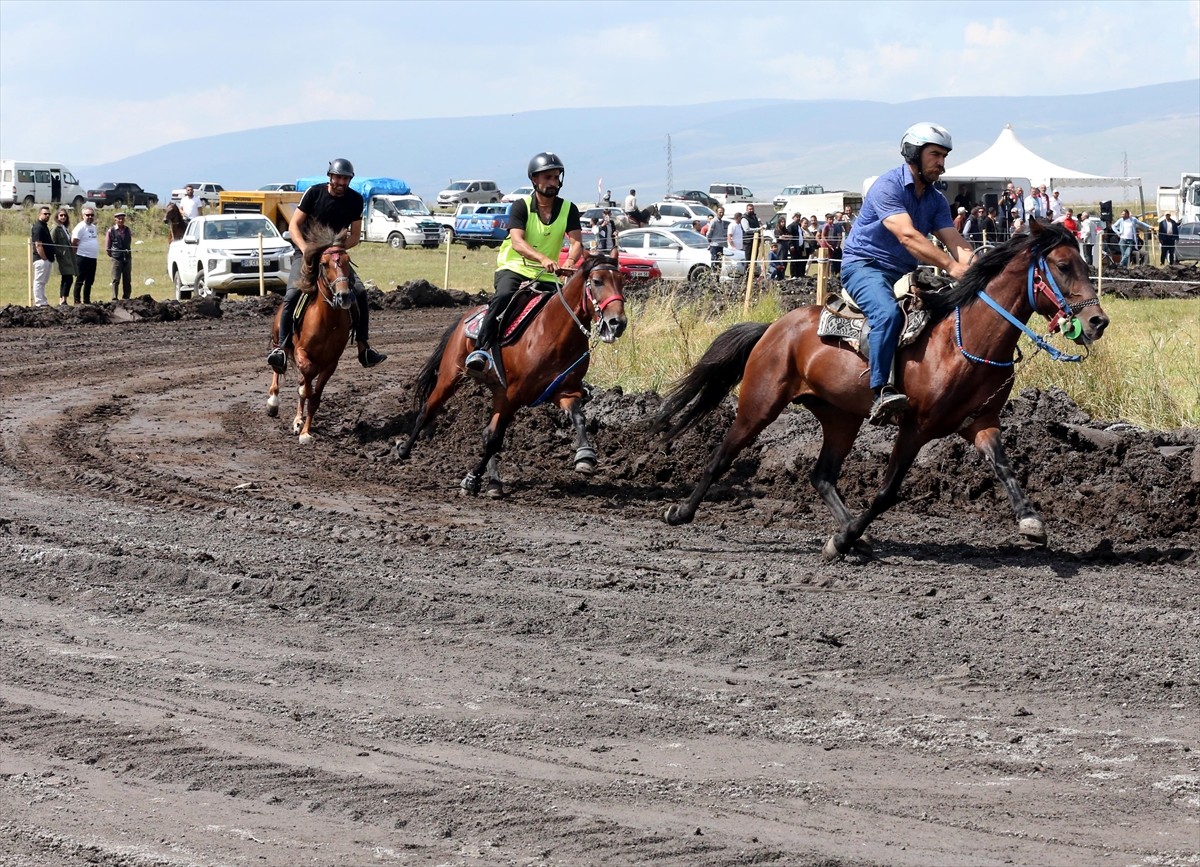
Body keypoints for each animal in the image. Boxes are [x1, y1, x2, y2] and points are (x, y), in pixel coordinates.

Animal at [266, 225, 352, 441]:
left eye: (347, 261)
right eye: (324, 264)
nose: (344, 296)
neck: (328, 321)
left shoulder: (331, 363)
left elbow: (314, 396)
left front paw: (305, 431)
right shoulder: (301, 351)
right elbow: (306, 377)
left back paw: (299, 420)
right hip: (278, 341)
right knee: (277, 367)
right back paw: (273, 402)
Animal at [398, 253, 633, 497]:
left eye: (621, 281)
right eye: (597, 281)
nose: (618, 323)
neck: (554, 333)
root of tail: (467, 317)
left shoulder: (563, 391)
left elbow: (578, 417)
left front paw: (585, 456)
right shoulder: (513, 396)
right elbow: (494, 439)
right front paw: (471, 480)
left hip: (497, 392)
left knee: (485, 431)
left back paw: (493, 481)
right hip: (450, 377)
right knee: (428, 410)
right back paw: (404, 450)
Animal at [652, 220, 1108, 559]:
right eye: (1063, 265)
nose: (1098, 322)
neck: (965, 342)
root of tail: (775, 328)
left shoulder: (980, 422)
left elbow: (1004, 467)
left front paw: (1031, 522)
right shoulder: (916, 427)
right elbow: (888, 492)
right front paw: (841, 539)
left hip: (841, 417)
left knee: (822, 476)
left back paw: (858, 537)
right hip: (759, 404)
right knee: (721, 457)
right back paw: (680, 512)